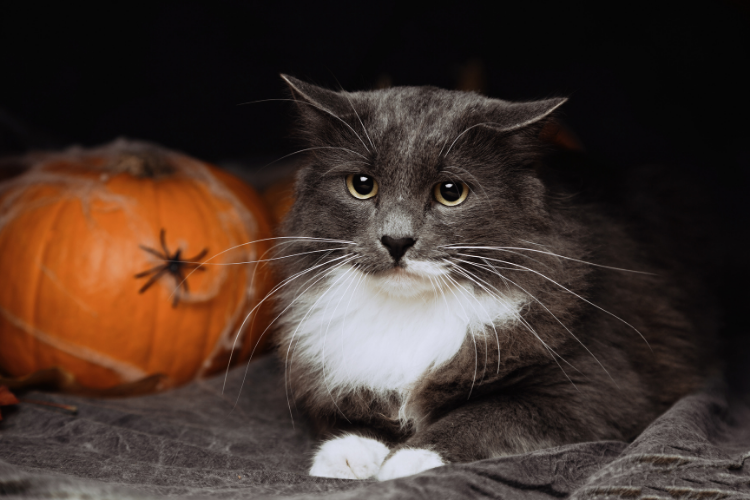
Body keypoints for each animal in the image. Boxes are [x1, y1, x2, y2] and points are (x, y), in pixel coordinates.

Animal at [270, 74, 716, 480]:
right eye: (361, 185)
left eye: (451, 192)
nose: (396, 240)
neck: (412, 312)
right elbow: (355, 413)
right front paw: (346, 454)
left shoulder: (594, 390)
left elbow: (485, 415)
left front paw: (409, 461)